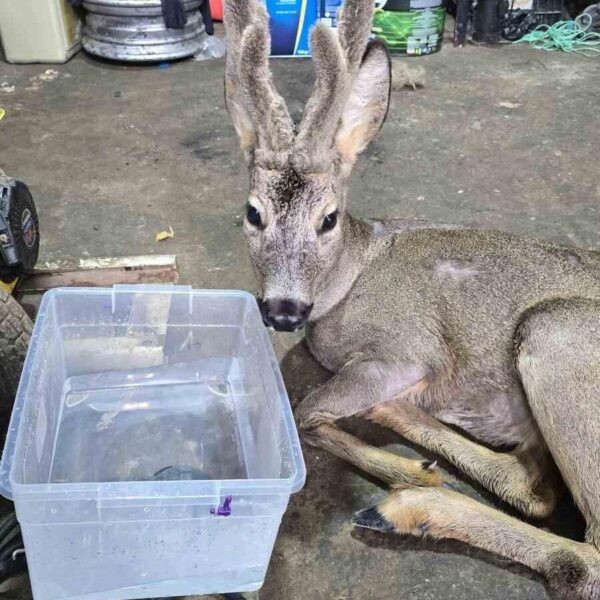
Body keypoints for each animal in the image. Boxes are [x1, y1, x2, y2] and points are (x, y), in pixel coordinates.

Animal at [223, 0, 600, 596]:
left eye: (328, 219)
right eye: (253, 213)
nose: (283, 310)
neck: (353, 275)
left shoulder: (404, 350)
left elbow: (306, 412)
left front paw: (402, 467)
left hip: (557, 333)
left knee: (582, 554)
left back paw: (407, 504)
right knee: (533, 486)